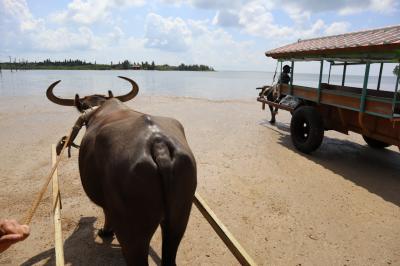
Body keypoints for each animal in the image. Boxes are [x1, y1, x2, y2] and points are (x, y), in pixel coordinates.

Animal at [47, 76, 197, 264]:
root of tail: (158, 143)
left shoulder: (108, 204)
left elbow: (106, 213)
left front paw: (105, 231)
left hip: (133, 232)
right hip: (178, 221)